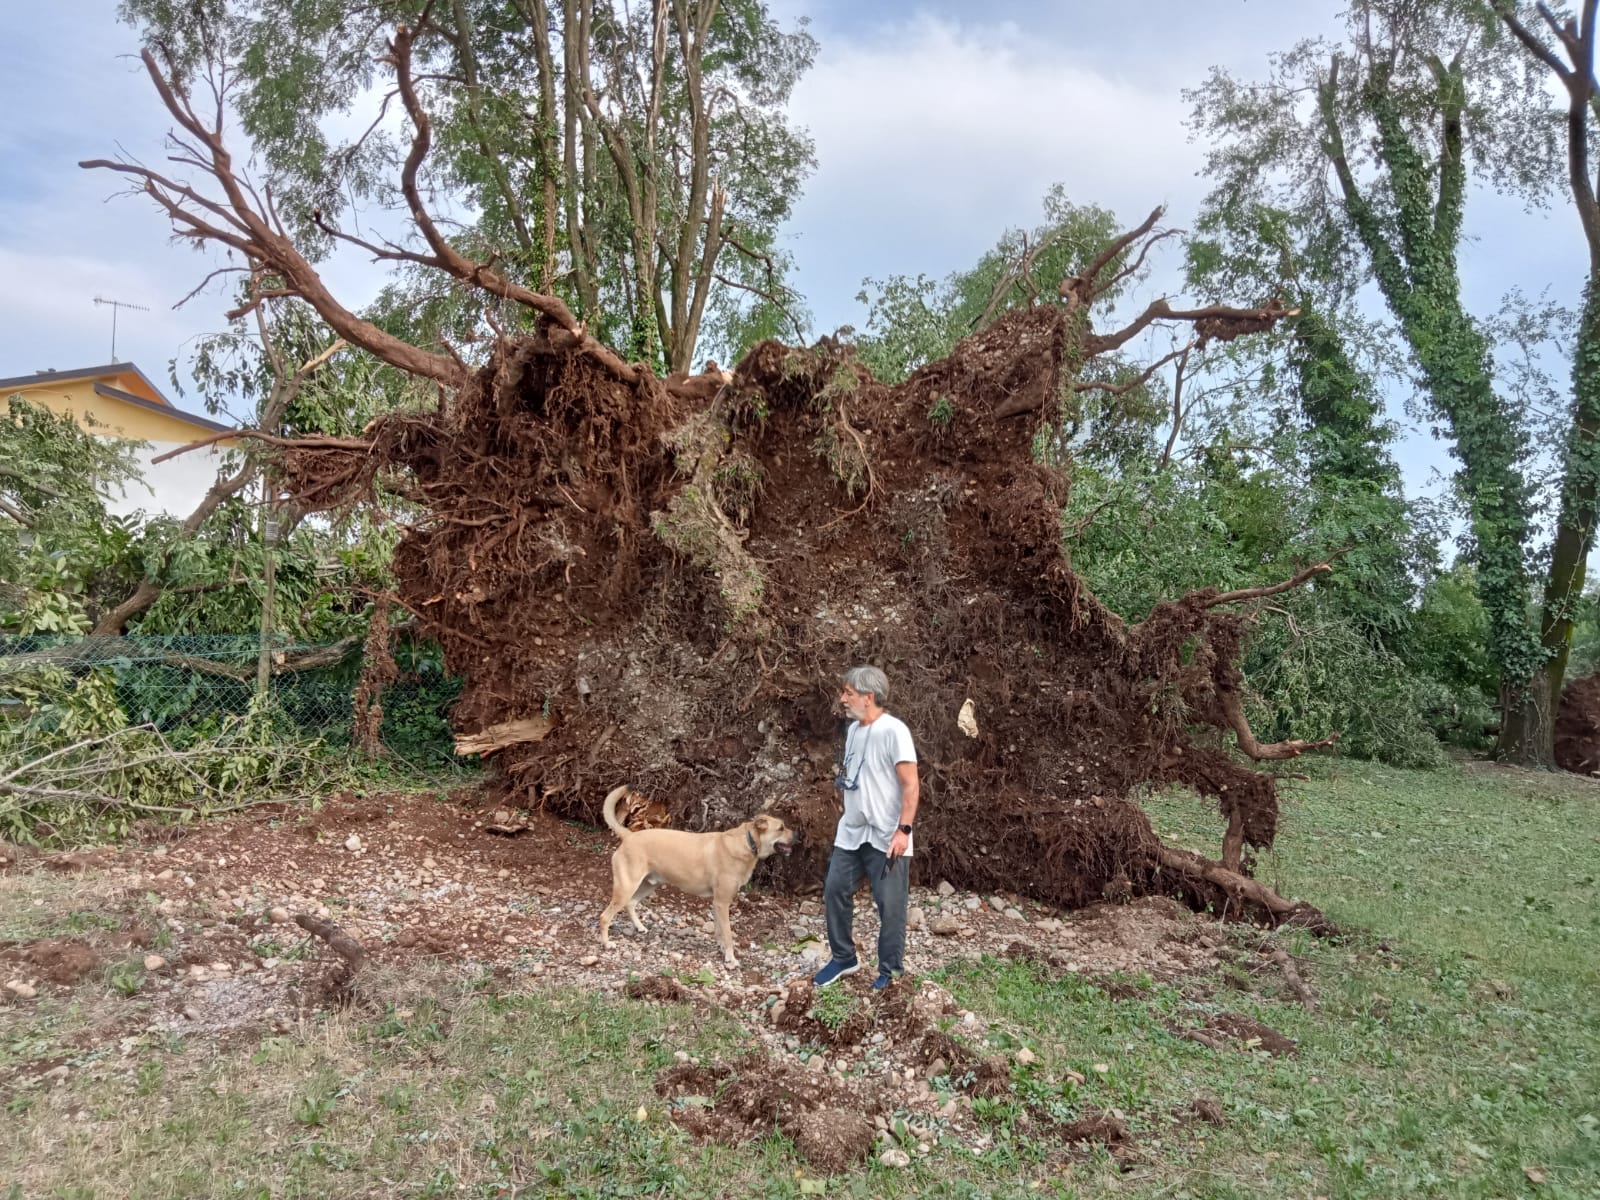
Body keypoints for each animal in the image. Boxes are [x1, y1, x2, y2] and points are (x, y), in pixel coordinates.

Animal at [598, 784, 796, 972]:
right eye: (781, 828)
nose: (798, 836)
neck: (747, 842)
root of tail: (629, 835)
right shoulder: (722, 902)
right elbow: (728, 934)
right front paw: (731, 959)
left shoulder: (717, 903)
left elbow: (719, 931)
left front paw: (722, 950)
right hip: (626, 887)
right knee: (605, 916)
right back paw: (607, 944)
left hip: (649, 884)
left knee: (631, 903)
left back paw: (639, 927)